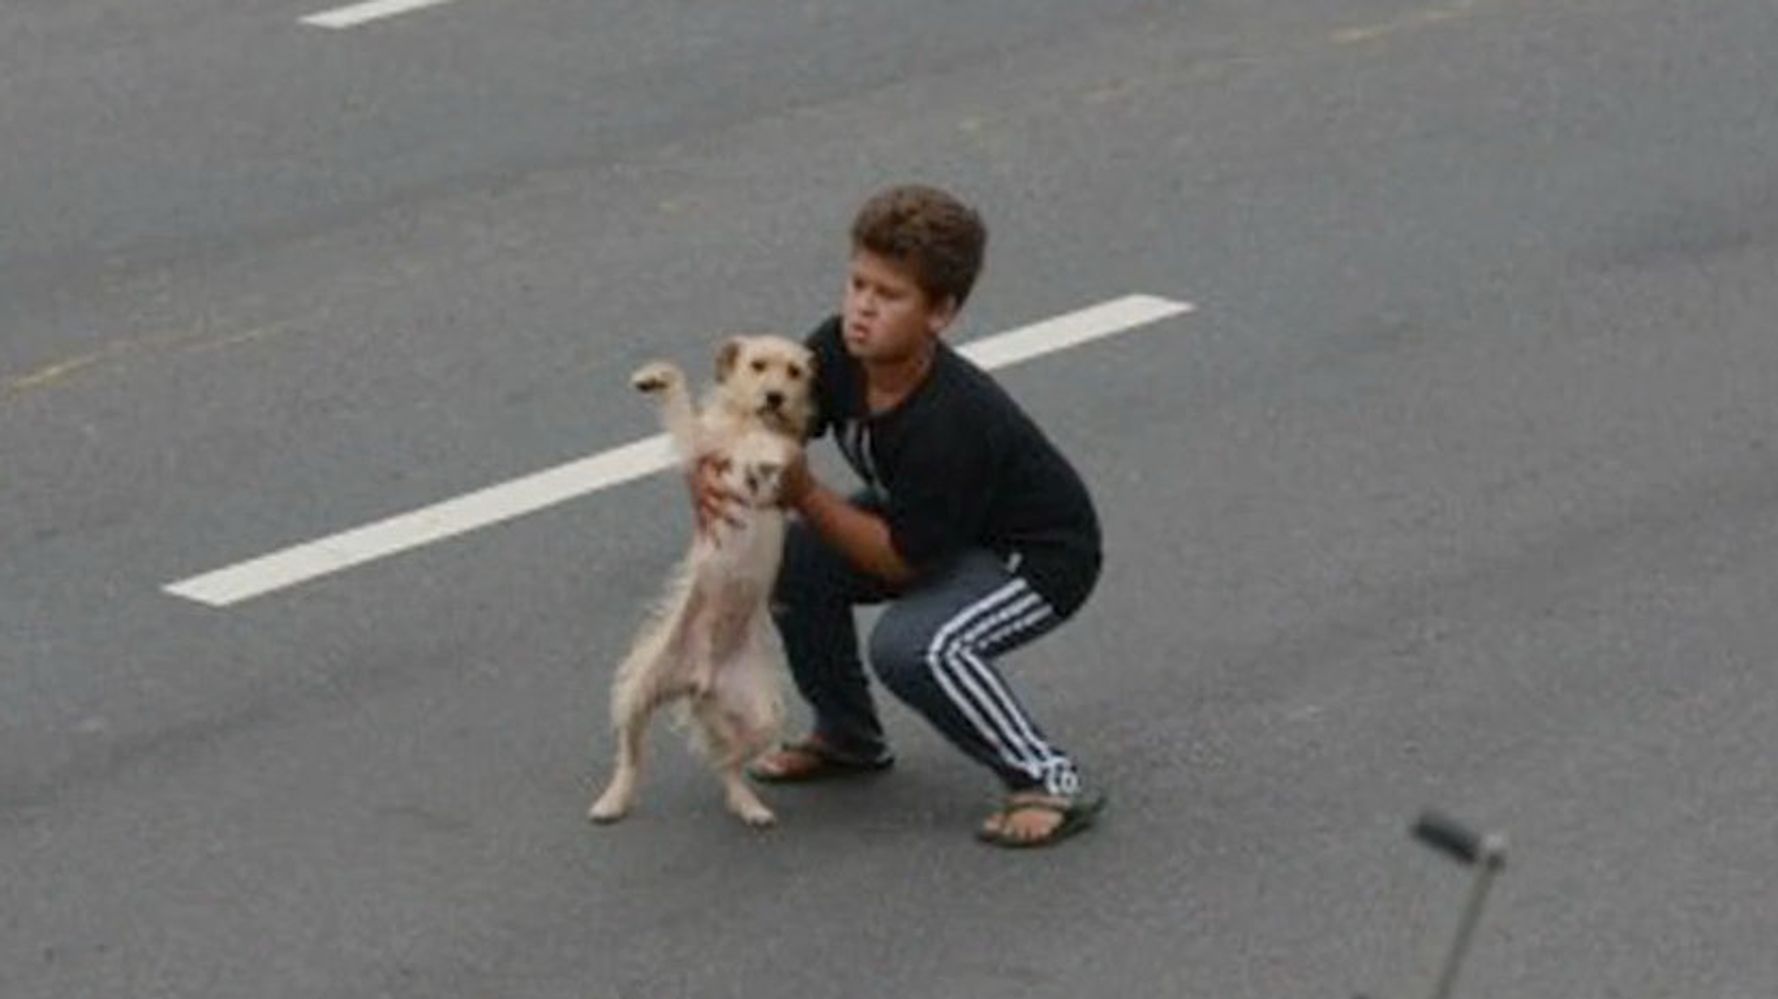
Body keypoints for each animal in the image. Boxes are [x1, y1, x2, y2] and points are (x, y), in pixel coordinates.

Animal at [593, 334, 814, 824]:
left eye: (794, 372)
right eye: (758, 365)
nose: (775, 397)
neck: (746, 422)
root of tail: (701, 680)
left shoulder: (780, 467)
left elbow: (775, 451)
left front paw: (766, 448)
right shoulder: (700, 447)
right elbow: (682, 407)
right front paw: (656, 376)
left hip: (762, 715)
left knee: (729, 763)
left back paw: (749, 804)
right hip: (639, 688)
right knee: (631, 755)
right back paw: (613, 800)